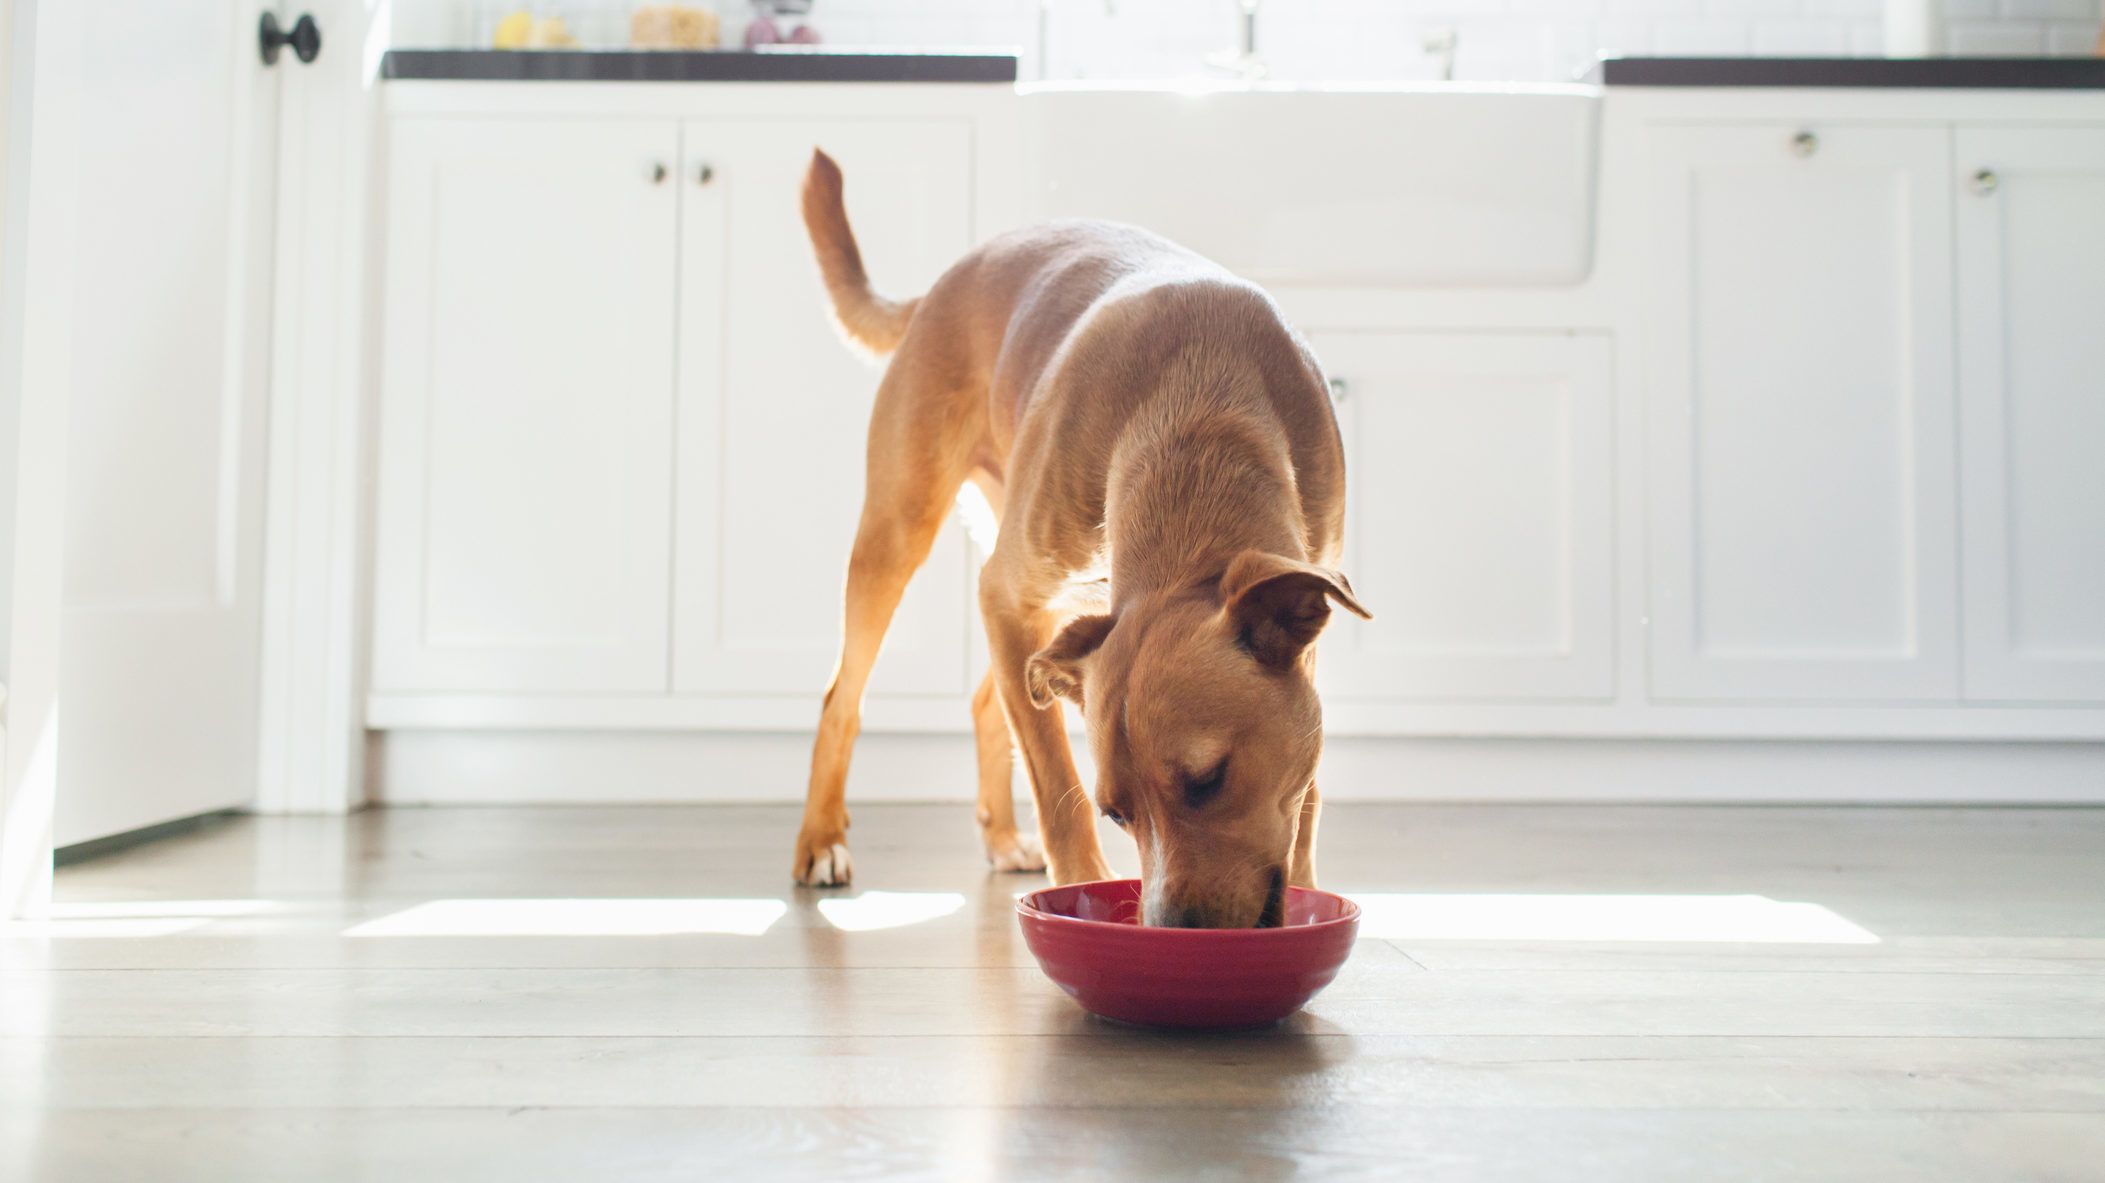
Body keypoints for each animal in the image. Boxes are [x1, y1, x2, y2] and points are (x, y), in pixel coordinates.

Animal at [791, 147, 1364, 926]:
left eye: (1208, 779)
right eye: (1118, 813)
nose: (1172, 932)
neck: (1199, 418)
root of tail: (941, 284)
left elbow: (1304, 795)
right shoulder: (1007, 598)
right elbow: (1055, 786)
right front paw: (1078, 890)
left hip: (1049, 611)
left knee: (988, 702)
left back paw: (1002, 837)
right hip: (899, 534)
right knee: (841, 701)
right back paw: (821, 840)